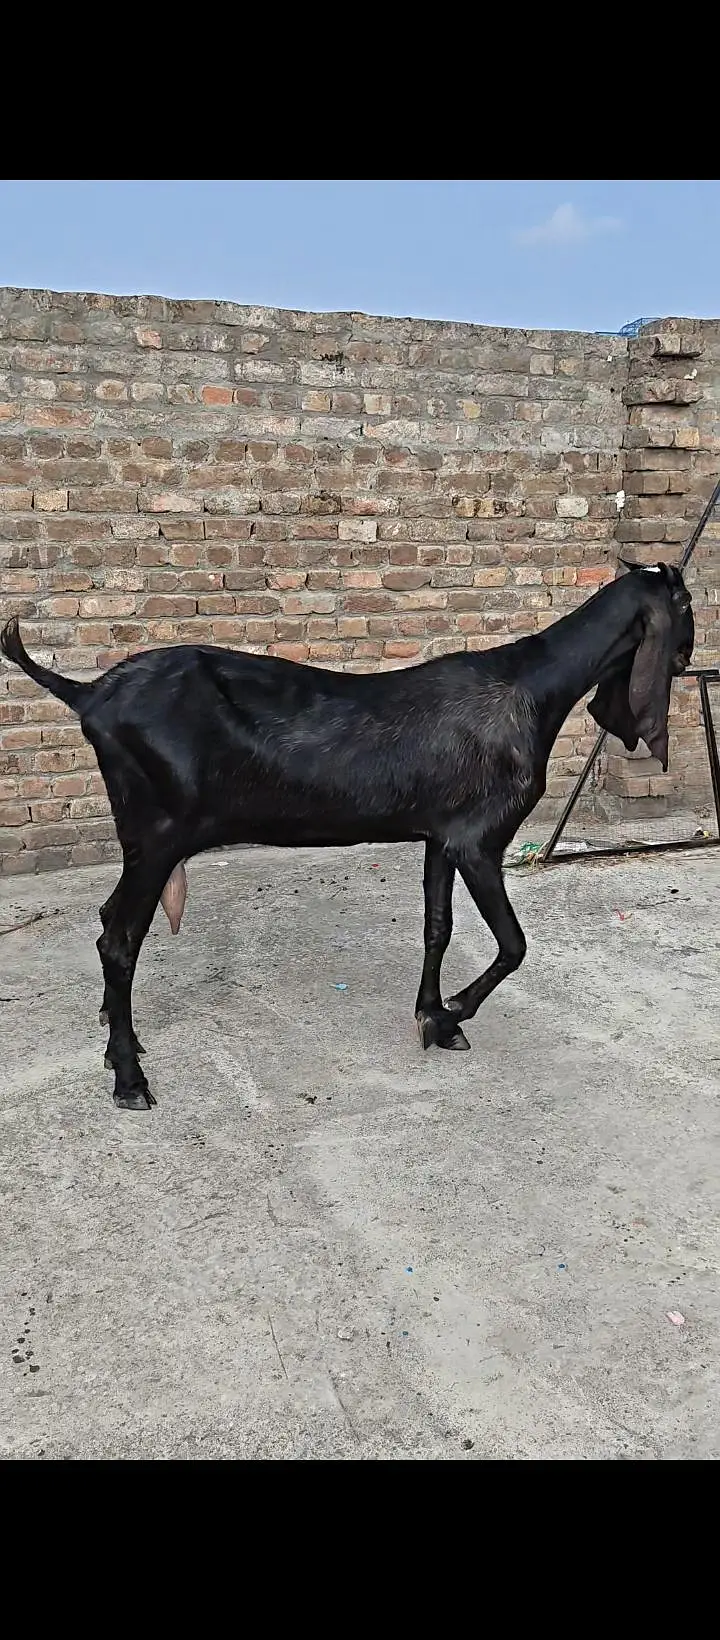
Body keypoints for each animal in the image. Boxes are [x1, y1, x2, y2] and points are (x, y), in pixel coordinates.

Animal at [0, 560, 694, 1111]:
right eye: (687, 604)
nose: (689, 658)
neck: (531, 689)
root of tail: (89, 694)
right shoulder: (479, 840)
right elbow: (514, 944)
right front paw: (452, 1011)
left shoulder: (441, 836)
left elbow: (438, 926)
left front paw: (433, 1018)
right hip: (157, 833)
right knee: (118, 941)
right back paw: (129, 1077)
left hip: (144, 838)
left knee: (108, 920)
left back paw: (118, 1037)